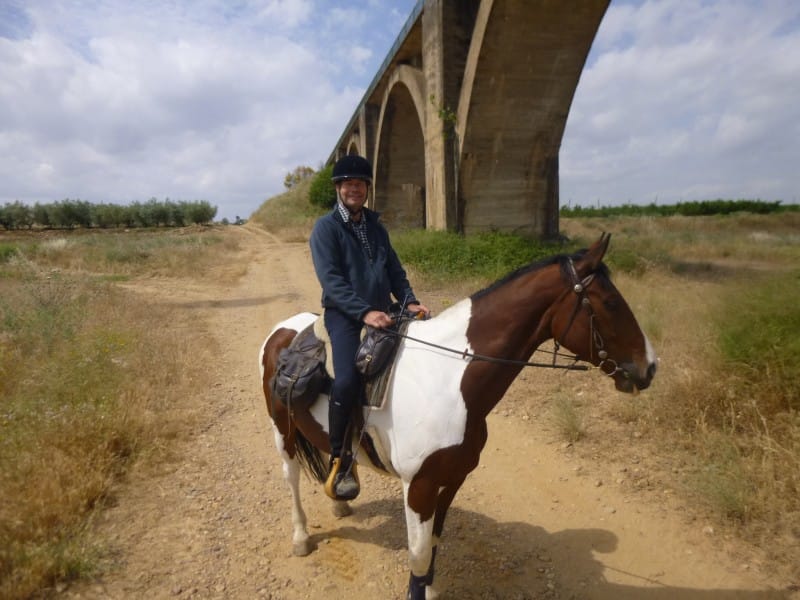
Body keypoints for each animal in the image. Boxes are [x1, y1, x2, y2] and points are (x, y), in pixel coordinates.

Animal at [260, 234, 660, 600]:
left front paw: (430, 589)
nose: (650, 366)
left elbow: (435, 543)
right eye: (610, 303)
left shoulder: (452, 479)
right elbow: (419, 553)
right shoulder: (418, 486)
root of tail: (284, 330)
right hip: (283, 432)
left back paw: (340, 500)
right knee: (291, 477)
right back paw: (301, 537)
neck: (450, 378)